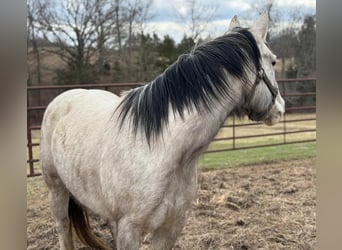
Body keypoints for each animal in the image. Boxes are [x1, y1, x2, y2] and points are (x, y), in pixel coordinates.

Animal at [40, 10, 284, 250]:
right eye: (273, 61)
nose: (280, 107)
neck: (162, 150)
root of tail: (64, 97)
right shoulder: (129, 230)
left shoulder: (171, 226)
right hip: (57, 190)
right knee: (63, 228)